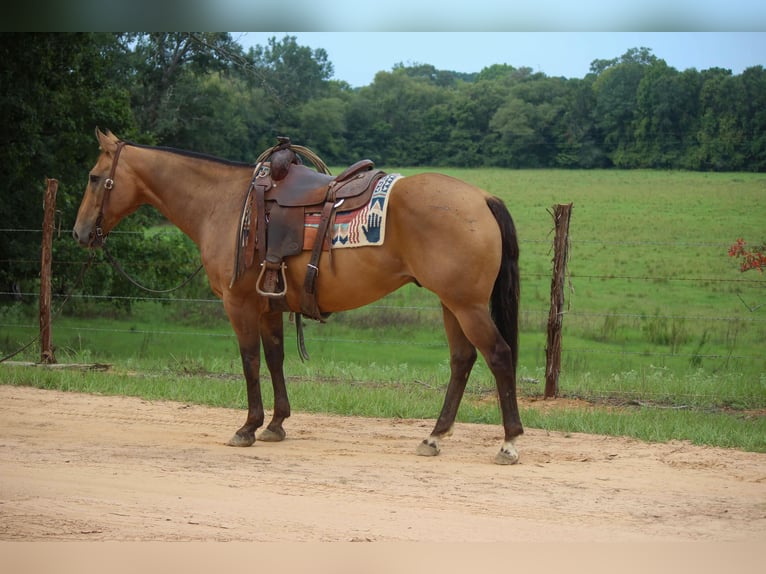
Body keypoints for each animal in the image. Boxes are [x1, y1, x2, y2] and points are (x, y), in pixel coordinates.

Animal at [73, 128, 528, 466]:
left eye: (94, 177)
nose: (79, 233)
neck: (225, 204)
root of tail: (482, 198)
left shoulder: (239, 304)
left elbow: (249, 360)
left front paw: (248, 427)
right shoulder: (270, 305)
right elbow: (275, 358)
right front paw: (276, 424)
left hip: (467, 306)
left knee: (498, 355)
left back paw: (508, 442)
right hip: (451, 304)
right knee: (462, 360)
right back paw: (434, 437)